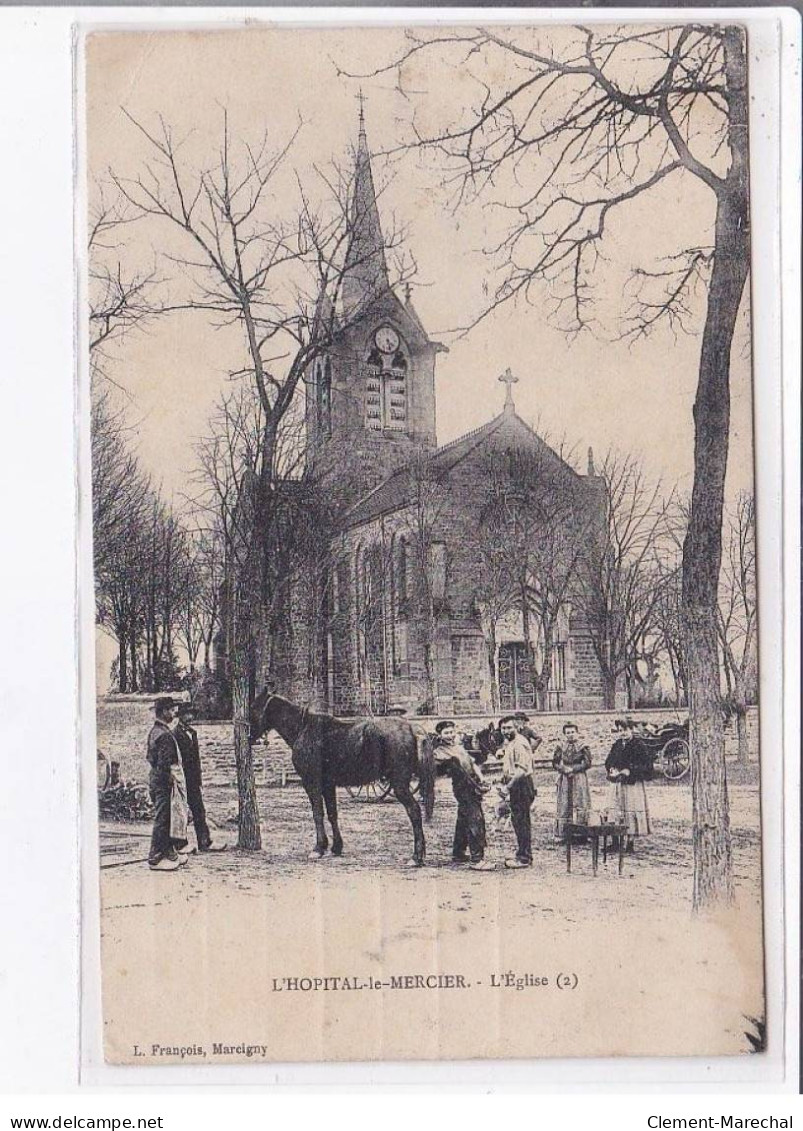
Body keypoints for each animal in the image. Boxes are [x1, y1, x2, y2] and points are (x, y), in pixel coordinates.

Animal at [253, 687, 436, 864]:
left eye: (255, 706)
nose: (249, 736)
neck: (303, 728)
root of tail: (413, 728)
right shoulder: (328, 785)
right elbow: (332, 814)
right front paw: (336, 847)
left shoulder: (312, 782)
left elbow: (318, 813)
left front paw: (318, 848)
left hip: (399, 785)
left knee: (414, 811)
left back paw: (416, 857)